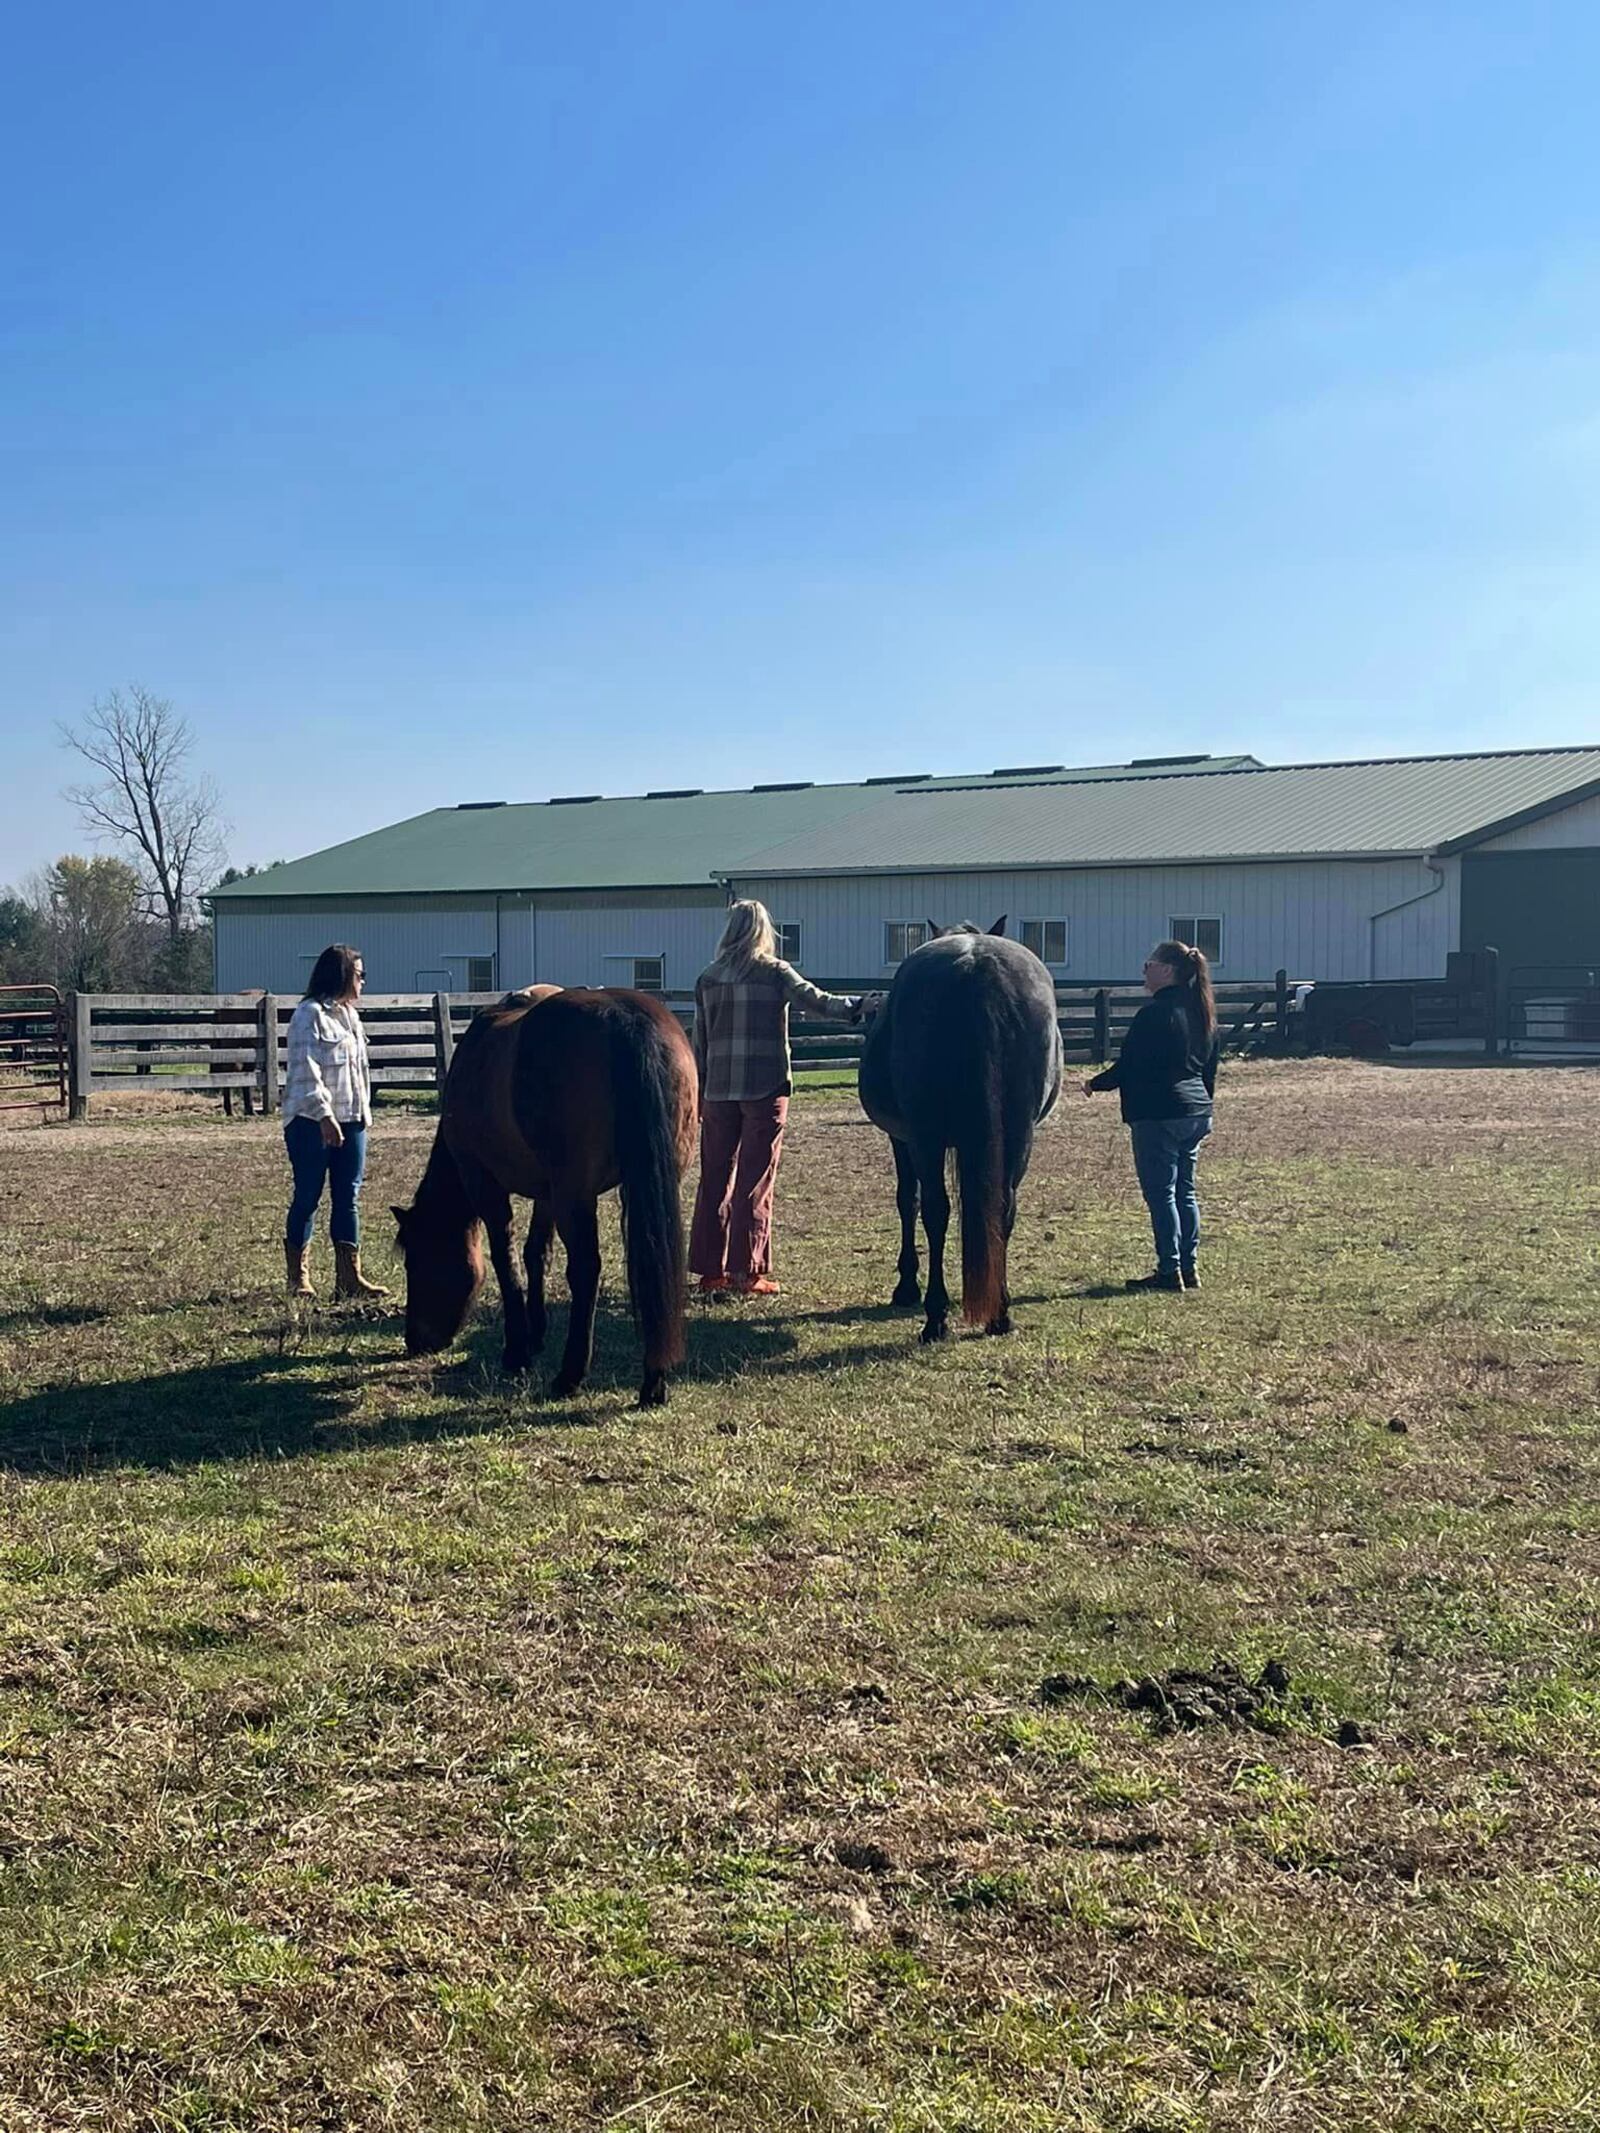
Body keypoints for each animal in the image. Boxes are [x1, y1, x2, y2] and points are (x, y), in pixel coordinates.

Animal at [392, 985, 699, 1416]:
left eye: (416, 1263)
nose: (416, 1340)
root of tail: (627, 1018)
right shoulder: (548, 1195)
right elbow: (536, 1253)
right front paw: (535, 1334)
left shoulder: (484, 1182)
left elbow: (505, 1260)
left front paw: (517, 1349)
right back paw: (653, 1380)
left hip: (577, 1195)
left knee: (586, 1270)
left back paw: (570, 1375)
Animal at [866, 921, 1066, 1348]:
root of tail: (979, 966)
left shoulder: (904, 1139)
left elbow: (907, 1201)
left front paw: (906, 1286)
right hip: (1019, 1137)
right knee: (1004, 1209)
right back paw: (1000, 1314)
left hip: (926, 1139)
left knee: (935, 1212)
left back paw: (935, 1317)